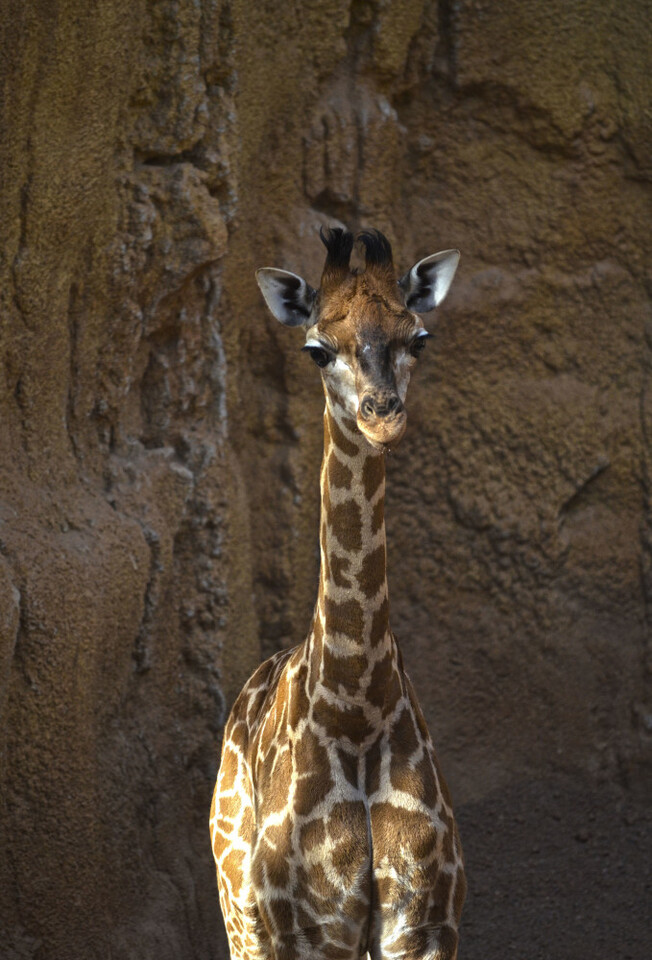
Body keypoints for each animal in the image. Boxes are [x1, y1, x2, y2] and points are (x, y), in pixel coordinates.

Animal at [210, 227, 465, 960]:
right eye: (317, 348)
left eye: (417, 338)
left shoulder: (423, 924)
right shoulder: (311, 929)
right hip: (242, 917)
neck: (357, 704)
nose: (382, 416)